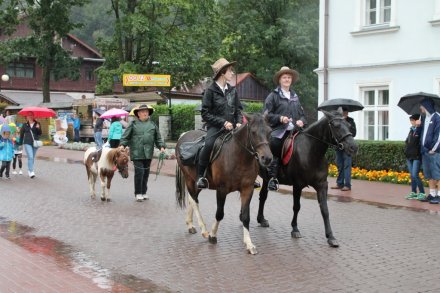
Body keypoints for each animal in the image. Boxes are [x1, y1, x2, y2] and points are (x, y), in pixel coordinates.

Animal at [174, 113, 272, 254]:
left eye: (270, 131)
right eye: (253, 132)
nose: (267, 158)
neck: (238, 156)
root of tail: (183, 135)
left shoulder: (247, 189)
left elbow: (245, 217)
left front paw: (249, 244)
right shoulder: (221, 190)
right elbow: (219, 213)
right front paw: (212, 235)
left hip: (197, 183)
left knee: (193, 199)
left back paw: (190, 225)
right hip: (189, 179)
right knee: (194, 201)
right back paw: (204, 230)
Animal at [258, 108, 358, 245]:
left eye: (349, 125)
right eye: (336, 126)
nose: (353, 147)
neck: (312, 152)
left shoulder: (322, 185)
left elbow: (325, 210)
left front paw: (331, 237)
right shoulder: (297, 185)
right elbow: (296, 207)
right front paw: (295, 229)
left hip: (265, 179)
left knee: (263, 196)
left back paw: (261, 219)